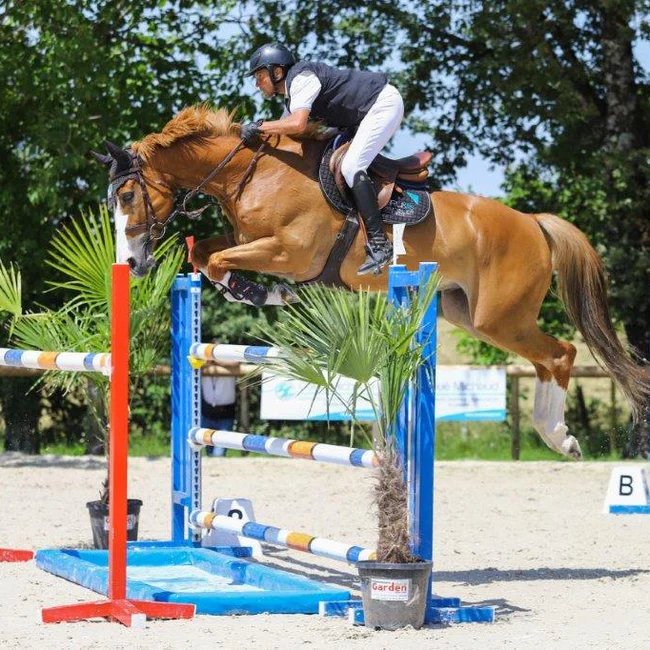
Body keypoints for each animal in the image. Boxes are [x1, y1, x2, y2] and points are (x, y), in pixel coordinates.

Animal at [93, 105, 648, 461]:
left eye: (127, 195)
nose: (131, 263)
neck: (251, 173)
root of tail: (533, 222)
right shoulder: (249, 239)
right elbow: (205, 253)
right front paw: (249, 290)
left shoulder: (289, 252)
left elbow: (219, 259)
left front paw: (263, 291)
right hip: (468, 313)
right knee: (546, 358)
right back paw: (559, 435)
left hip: (500, 317)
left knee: (560, 354)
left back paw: (559, 438)